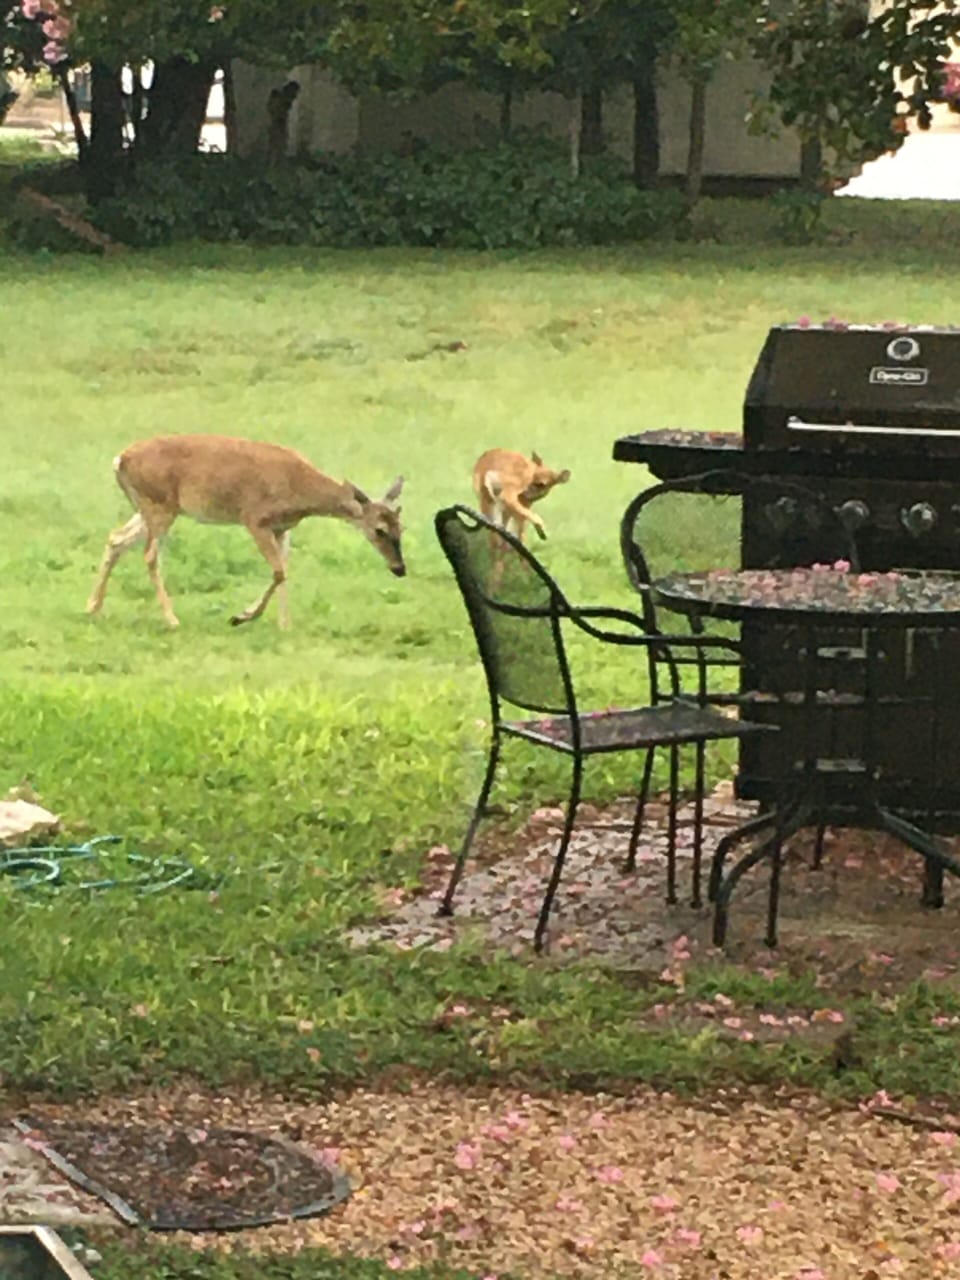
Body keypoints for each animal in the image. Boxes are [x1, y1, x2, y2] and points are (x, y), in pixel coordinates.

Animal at [85, 434, 405, 630]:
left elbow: (284, 571)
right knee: (150, 555)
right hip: (160, 506)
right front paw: (242, 617)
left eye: (401, 527)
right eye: (379, 530)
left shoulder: (282, 529)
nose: (399, 568)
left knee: (116, 539)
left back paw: (92, 607)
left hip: (147, 507)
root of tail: (119, 460)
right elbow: (278, 571)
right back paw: (172, 619)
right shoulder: (254, 519)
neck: (298, 490)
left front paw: (284, 624)